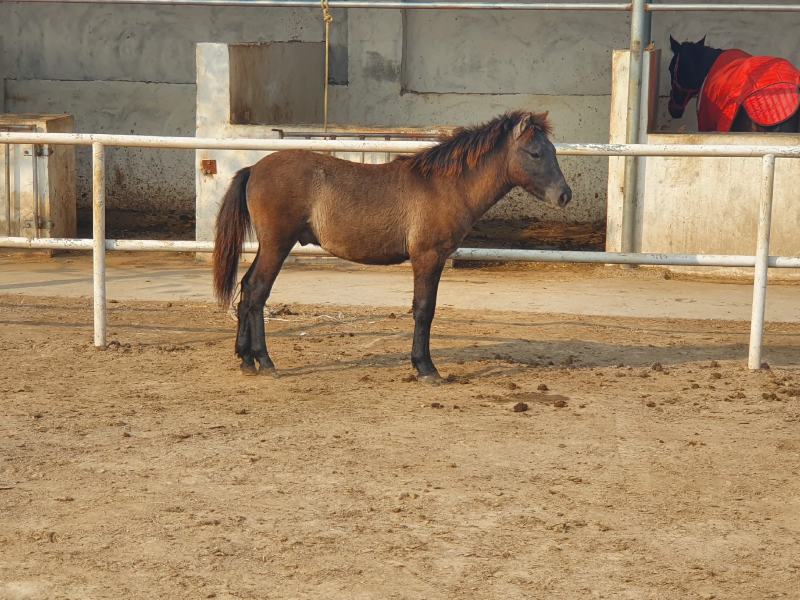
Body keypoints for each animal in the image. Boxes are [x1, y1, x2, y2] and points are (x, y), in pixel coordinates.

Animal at [212, 111, 572, 382]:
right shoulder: (428, 257)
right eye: (535, 153)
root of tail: (254, 168)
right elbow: (424, 309)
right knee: (257, 293)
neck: (445, 186)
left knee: (247, 288)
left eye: (554, 151)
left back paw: (246, 360)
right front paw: (426, 368)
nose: (564, 195)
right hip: (277, 245)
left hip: (269, 247)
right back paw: (265, 361)